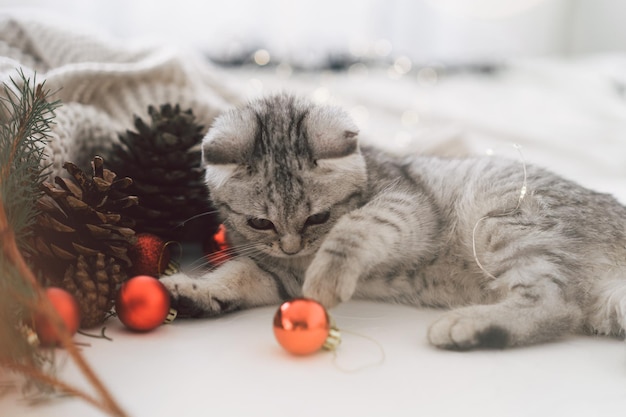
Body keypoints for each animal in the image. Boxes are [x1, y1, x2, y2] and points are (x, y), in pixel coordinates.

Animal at [161, 92, 624, 350]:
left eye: (318, 217)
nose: (293, 247)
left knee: (555, 304)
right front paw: (194, 291)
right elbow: (236, 274)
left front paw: (330, 272)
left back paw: (466, 326)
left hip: (509, 223)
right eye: (260, 223)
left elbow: (360, 225)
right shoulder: (277, 272)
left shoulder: (407, 205)